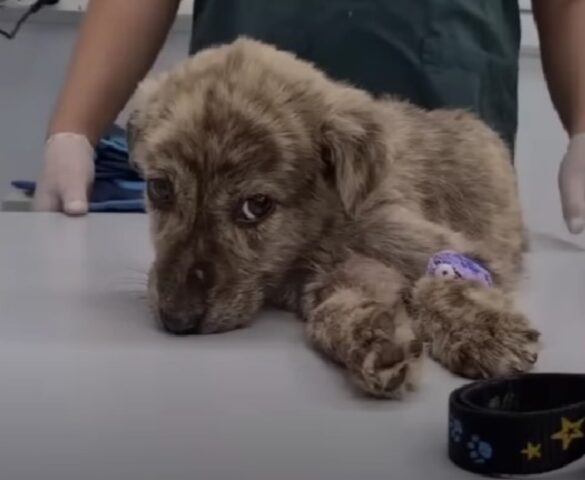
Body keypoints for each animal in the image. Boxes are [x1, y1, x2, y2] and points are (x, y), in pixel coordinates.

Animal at [128, 37, 540, 398]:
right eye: (159, 188)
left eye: (255, 205)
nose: (177, 320)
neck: (320, 231)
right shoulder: (327, 280)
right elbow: (330, 311)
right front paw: (371, 339)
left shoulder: (459, 252)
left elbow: (439, 285)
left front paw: (484, 332)